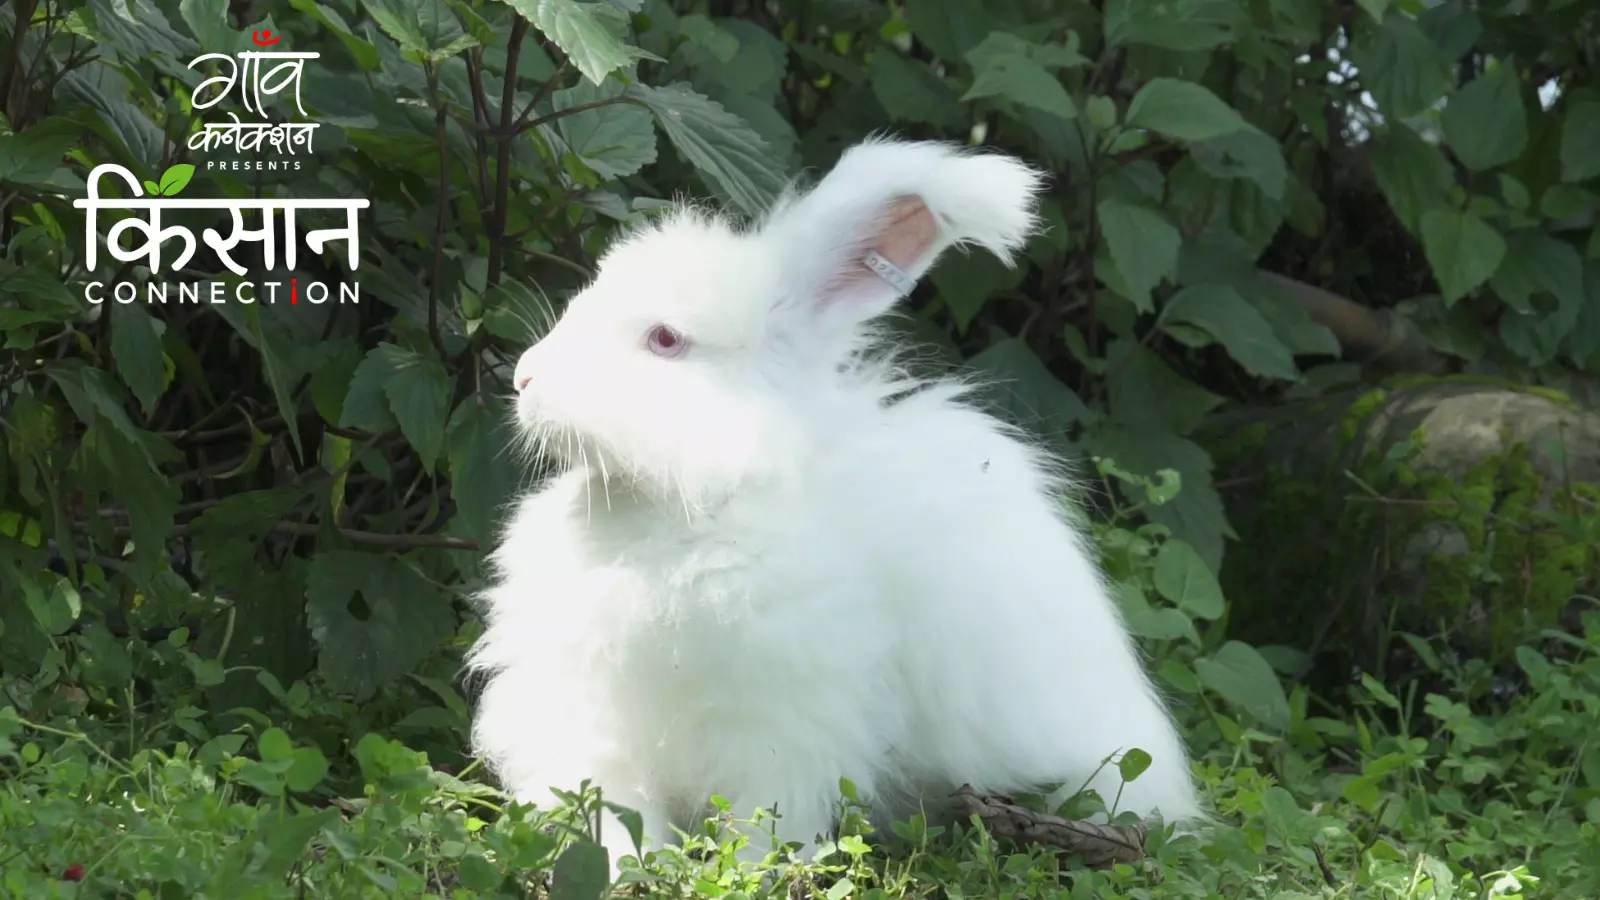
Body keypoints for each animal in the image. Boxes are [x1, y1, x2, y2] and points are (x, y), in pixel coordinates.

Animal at [467, 136, 1203, 864]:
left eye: (666, 339)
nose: (525, 376)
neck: (701, 503)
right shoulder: (590, 711)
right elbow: (612, 806)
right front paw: (621, 864)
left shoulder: (783, 720)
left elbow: (763, 818)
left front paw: (753, 866)